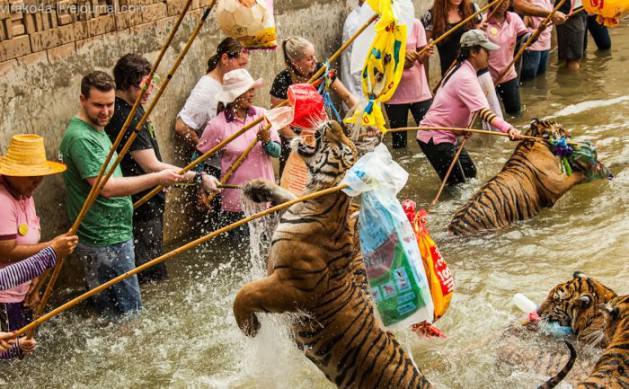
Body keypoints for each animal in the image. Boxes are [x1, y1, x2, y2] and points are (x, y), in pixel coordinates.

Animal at [232, 120, 432, 388]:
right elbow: (288, 196)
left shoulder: (292, 285)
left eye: (343, 148)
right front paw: (256, 187)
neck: (319, 199)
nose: (333, 122)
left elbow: (245, 293)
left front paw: (249, 327)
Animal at [446, 118, 608, 235]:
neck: (535, 140)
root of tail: (456, 230)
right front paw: (591, 169)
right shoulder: (556, 184)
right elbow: (574, 177)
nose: (570, 135)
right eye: (560, 129)